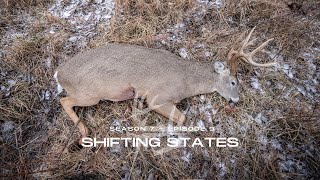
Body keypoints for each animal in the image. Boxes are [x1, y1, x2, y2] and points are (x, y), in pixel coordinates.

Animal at [53, 27, 276, 143]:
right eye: (233, 81)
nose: (236, 100)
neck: (187, 81)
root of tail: (59, 73)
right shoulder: (156, 97)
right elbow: (182, 118)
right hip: (90, 94)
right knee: (65, 101)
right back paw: (84, 133)